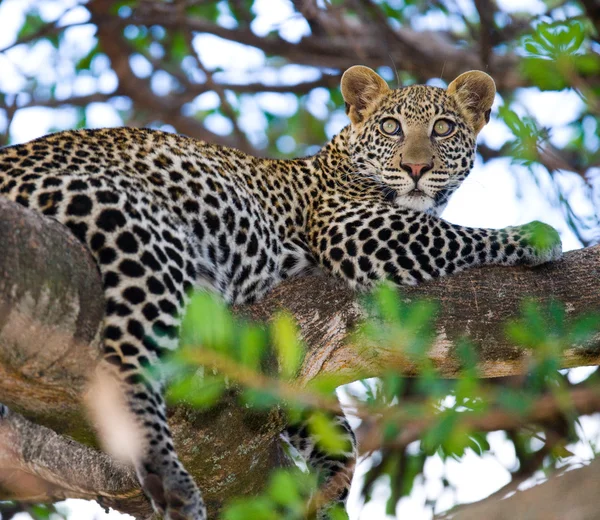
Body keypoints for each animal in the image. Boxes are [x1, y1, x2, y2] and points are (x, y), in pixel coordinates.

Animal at [0, 66, 564, 520]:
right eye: (391, 127)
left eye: (443, 128)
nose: (417, 168)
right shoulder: (357, 229)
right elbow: (457, 235)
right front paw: (535, 235)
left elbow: (333, 428)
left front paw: (331, 493)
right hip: (131, 224)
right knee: (128, 361)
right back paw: (170, 479)